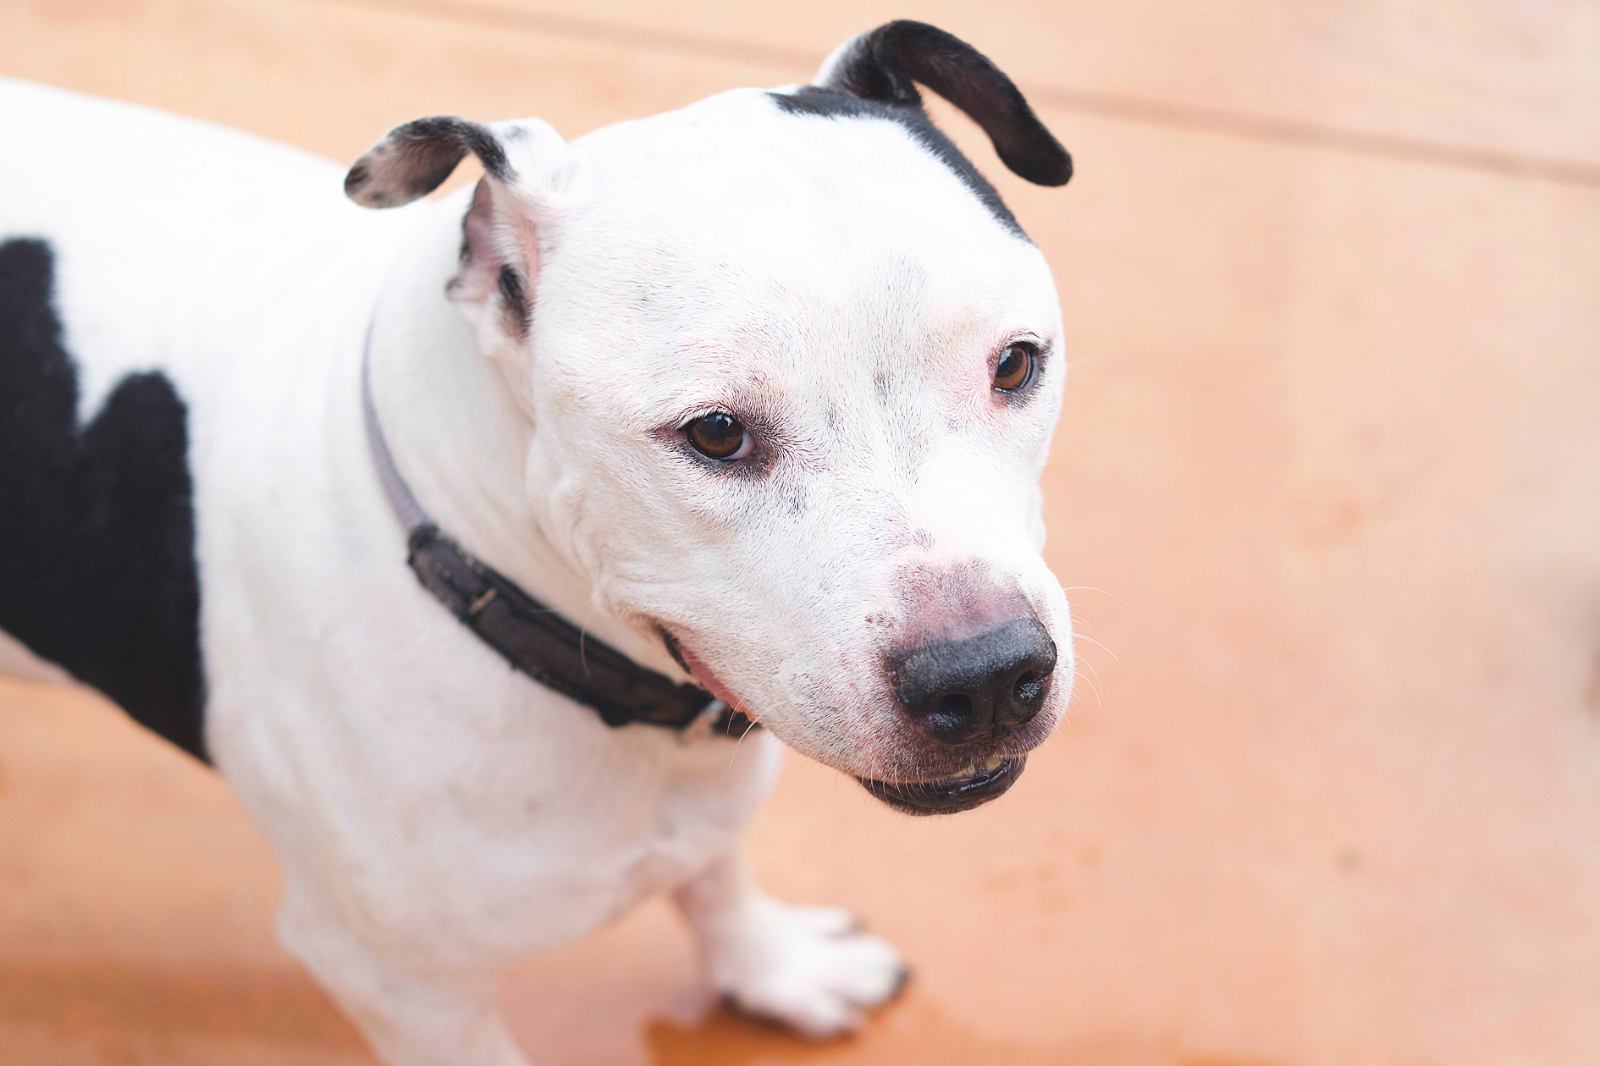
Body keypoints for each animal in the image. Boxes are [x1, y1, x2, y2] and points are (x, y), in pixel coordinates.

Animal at [0, 20, 1074, 1066]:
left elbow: (715, 876)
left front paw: (772, 967)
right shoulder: (401, 986)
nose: (983, 675)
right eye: (716, 433)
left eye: (1016, 365)